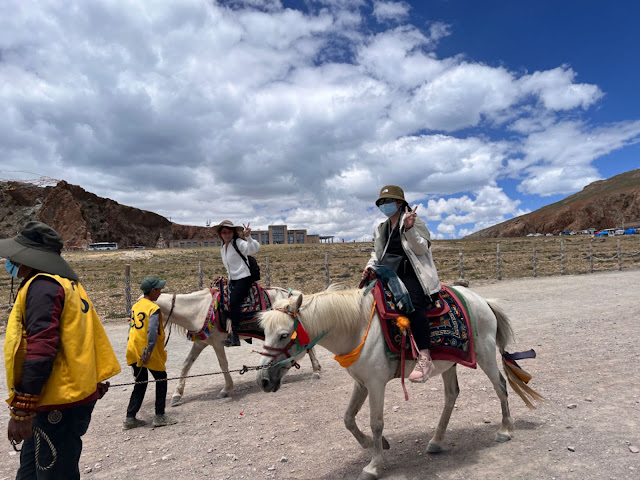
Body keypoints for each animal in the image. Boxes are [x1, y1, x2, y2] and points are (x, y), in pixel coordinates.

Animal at [154, 284, 322, 404]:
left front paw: (226, 389)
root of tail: (291, 295)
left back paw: (316, 372)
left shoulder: (217, 342)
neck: (199, 310)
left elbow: (223, 364)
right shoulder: (201, 343)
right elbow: (186, 364)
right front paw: (177, 395)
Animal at [254, 286, 540, 478]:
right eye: (264, 332)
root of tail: (483, 301)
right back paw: (436, 441)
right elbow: (348, 418)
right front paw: (375, 444)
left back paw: (505, 430)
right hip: (449, 364)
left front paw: (373, 465)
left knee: (500, 386)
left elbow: (376, 423)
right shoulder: (361, 383)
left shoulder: (375, 384)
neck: (357, 329)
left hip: (485, 354)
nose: (263, 380)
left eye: (283, 335)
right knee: (451, 395)